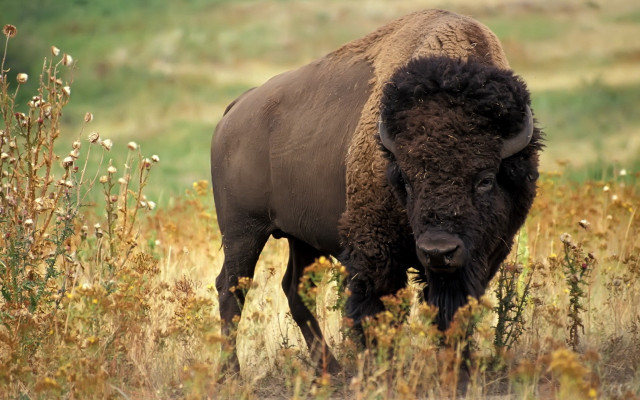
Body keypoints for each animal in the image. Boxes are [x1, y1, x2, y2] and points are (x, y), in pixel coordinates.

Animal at [210, 9, 542, 374]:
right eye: (406, 180)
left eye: (485, 179)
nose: (438, 251)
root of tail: (236, 108)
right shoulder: (375, 252)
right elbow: (376, 312)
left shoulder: (482, 256)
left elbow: (453, 312)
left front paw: (457, 368)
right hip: (243, 231)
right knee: (231, 289)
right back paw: (231, 372)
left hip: (301, 237)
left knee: (295, 289)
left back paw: (331, 370)